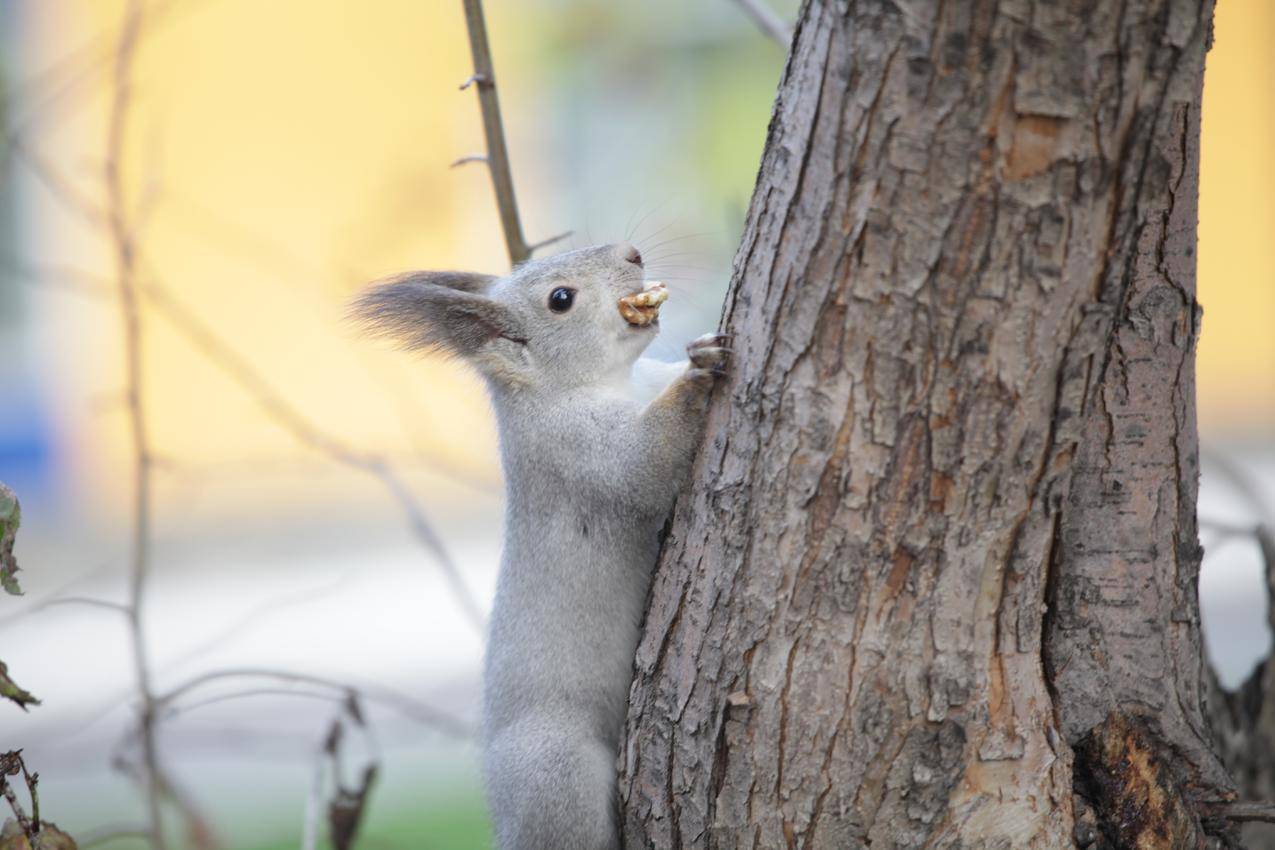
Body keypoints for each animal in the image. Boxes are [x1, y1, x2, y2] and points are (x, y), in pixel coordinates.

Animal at [351, 242, 729, 846]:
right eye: (560, 299)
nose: (632, 252)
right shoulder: (578, 450)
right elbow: (644, 465)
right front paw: (699, 372)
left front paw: (696, 347)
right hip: (557, 771)